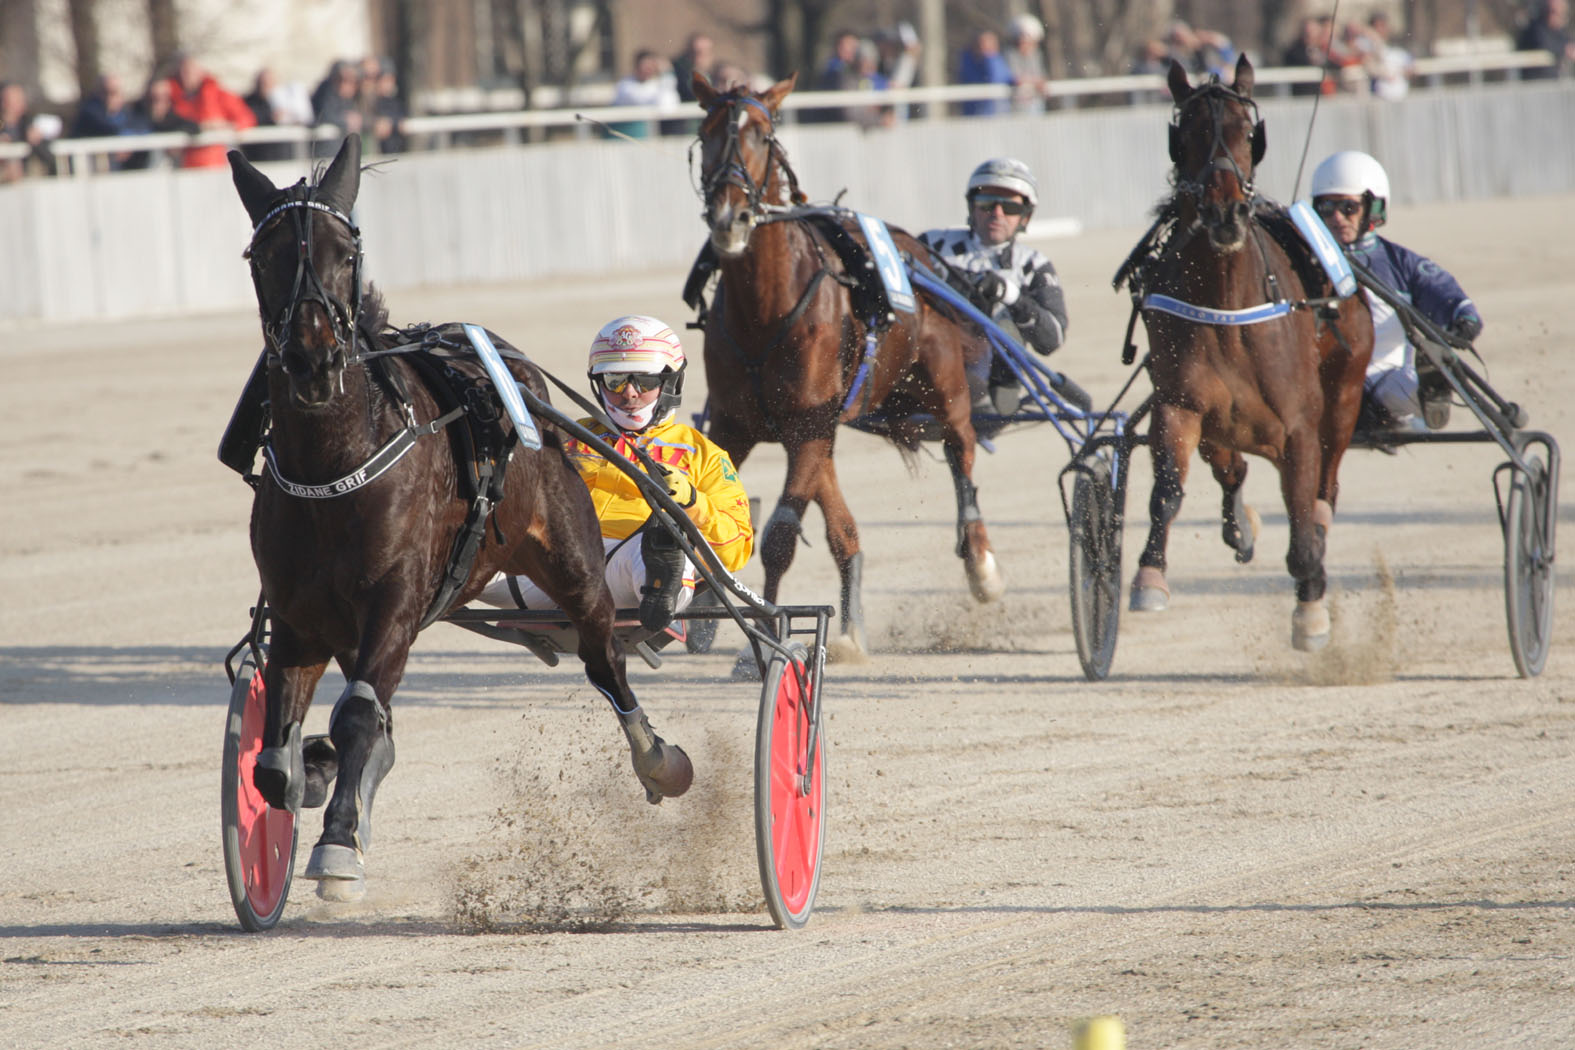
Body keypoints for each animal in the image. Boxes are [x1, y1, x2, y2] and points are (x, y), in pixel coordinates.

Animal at [226, 135, 689, 900]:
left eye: (345, 252)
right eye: (262, 256)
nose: (312, 360)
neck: (333, 467)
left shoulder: (393, 598)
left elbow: (358, 714)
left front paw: (339, 847)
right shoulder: (299, 616)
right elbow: (272, 764)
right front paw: (311, 779)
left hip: (573, 564)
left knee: (605, 659)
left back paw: (659, 756)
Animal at [696, 73, 1001, 658]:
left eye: (762, 135)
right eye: (704, 135)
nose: (729, 218)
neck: (765, 311)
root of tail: (914, 252)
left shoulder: (808, 422)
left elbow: (780, 536)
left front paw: (761, 646)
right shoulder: (736, 424)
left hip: (944, 388)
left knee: (963, 449)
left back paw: (981, 564)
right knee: (844, 525)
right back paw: (851, 625)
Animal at [1127, 55, 1373, 648]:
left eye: (1247, 132)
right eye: (1188, 135)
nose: (1226, 214)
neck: (1226, 298)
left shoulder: (1300, 425)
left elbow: (1304, 513)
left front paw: (1310, 607)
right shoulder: (1179, 403)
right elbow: (1167, 491)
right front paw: (1149, 577)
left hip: (1344, 393)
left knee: (1326, 486)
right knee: (1230, 466)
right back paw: (1240, 523)